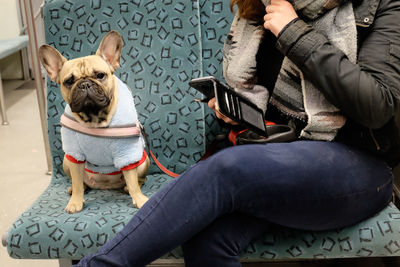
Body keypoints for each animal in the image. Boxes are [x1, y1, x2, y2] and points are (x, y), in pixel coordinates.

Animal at [39, 30, 150, 214]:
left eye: (100, 75)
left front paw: (139, 199)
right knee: (79, 182)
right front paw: (76, 201)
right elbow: (77, 182)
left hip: (142, 161)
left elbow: (133, 181)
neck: (95, 119)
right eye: (69, 81)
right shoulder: (74, 154)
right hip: (66, 161)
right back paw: (77, 189)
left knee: (138, 180)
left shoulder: (126, 153)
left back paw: (127, 188)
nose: (84, 84)